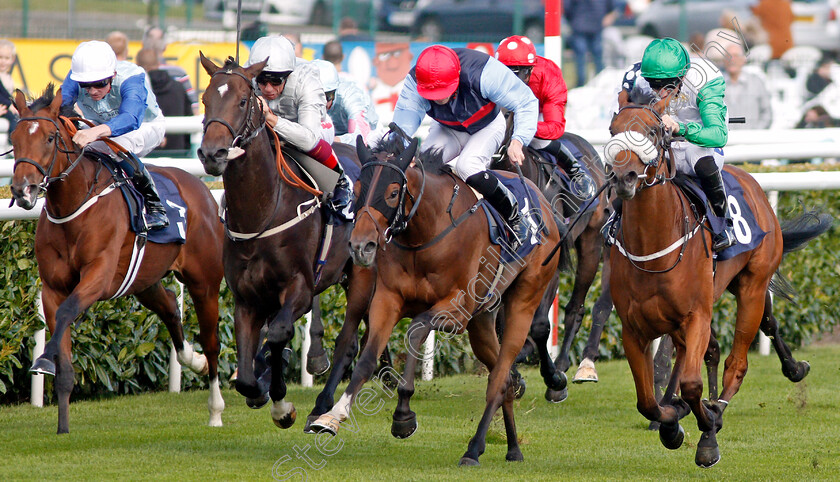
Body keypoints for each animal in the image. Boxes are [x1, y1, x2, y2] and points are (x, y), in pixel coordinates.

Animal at [9, 85, 225, 434]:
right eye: (14, 137)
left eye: (50, 138)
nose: (22, 190)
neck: (73, 208)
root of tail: (203, 189)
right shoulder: (52, 288)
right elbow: (64, 352)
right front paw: (62, 427)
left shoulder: (98, 276)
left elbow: (69, 310)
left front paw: (43, 359)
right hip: (143, 278)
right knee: (169, 304)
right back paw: (194, 359)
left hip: (204, 282)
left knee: (212, 341)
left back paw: (215, 410)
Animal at [197, 55, 374, 430]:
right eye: (204, 99)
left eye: (243, 101)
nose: (212, 153)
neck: (261, 213)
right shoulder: (246, 298)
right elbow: (247, 373)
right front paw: (260, 390)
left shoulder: (299, 287)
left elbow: (279, 334)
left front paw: (281, 404)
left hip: (364, 275)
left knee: (347, 342)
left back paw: (323, 407)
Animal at [310, 137, 564, 466]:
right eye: (358, 189)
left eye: (393, 192)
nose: (360, 245)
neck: (426, 234)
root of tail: (543, 202)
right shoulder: (387, 300)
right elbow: (367, 358)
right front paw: (332, 415)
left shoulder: (457, 310)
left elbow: (416, 329)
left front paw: (403, 414)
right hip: (481, 322)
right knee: (505, 379)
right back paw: (512, 448)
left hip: (524, 300)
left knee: (498, 380)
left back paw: (473, 449)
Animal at [608, 94, 832, 466]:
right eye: (613, 131)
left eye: (654, 131)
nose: (624, 176)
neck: (652, 247)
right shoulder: (634, 327)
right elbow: (648, 402)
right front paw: (673, 422)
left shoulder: (695, 315)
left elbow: (691, 384)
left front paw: (704, 430)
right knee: (744, 335)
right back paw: (791, 368)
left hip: (752, 285)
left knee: (737, 361)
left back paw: (719, 414)